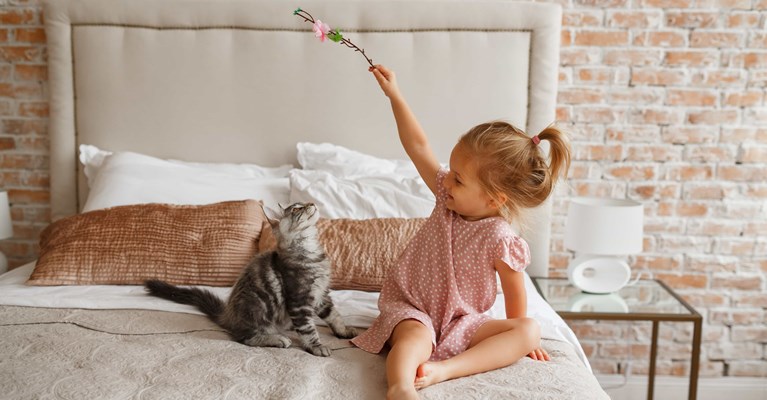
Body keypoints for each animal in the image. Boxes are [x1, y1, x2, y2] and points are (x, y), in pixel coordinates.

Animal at [146, 203, 356, 356]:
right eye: (297, 209)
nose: (311, 203)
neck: (311, 252)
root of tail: (228, 315)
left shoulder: (321, 295)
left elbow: (334, 316)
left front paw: (344, 331)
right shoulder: (299, 300)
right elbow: (308, 329)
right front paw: (316, 346)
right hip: (256, 306)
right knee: (245, 338)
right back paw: (277, 339)